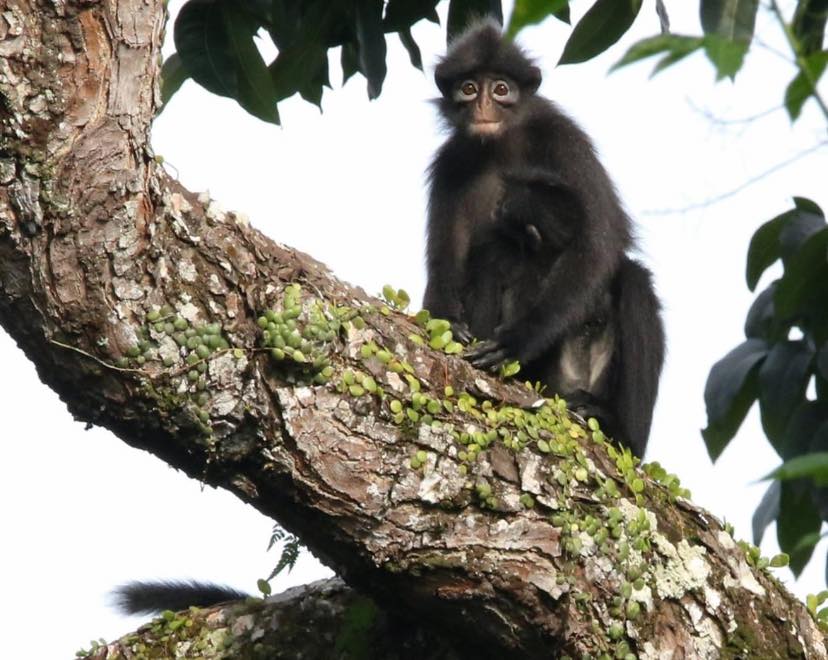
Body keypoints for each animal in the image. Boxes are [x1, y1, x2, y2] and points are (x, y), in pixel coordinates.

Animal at [426, 19, 668, 454]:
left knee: (633, 278)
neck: (499, 145)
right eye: (469, 88)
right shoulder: (450, 164)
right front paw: (449, 323)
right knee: (491, 254)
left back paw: (620, 432)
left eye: (501, 89)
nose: (483, 107)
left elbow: (599, 244)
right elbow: (445, 263)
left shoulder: (563, 137)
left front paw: (516, 341)